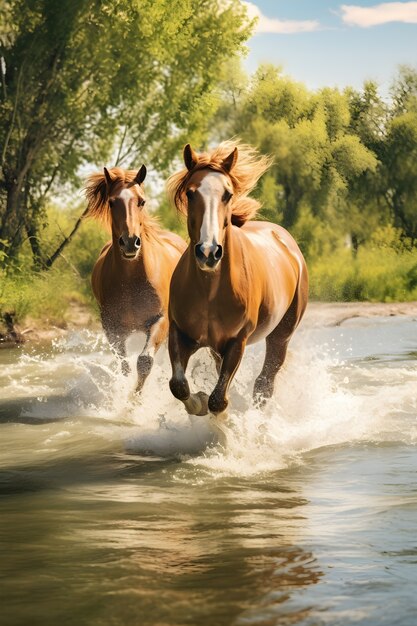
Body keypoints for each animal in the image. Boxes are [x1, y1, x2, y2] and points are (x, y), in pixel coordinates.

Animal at [84, 166, 185, 390]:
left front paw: (136, 397)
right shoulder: (113, 329)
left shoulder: (160, 320)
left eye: (142, 201)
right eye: (112, 202)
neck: (131, 280)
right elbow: (125, 367)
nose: (130, 242)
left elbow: (145, 361)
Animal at [167, 141, 308, 414]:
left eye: (227, 194)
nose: (208, 252)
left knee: (264, 384)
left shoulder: (236, 342)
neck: (210, 290)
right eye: (191, 193)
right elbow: (179, 385)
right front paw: (198, 403)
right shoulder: (180, 333)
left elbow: (218, 399)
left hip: (281, 336)